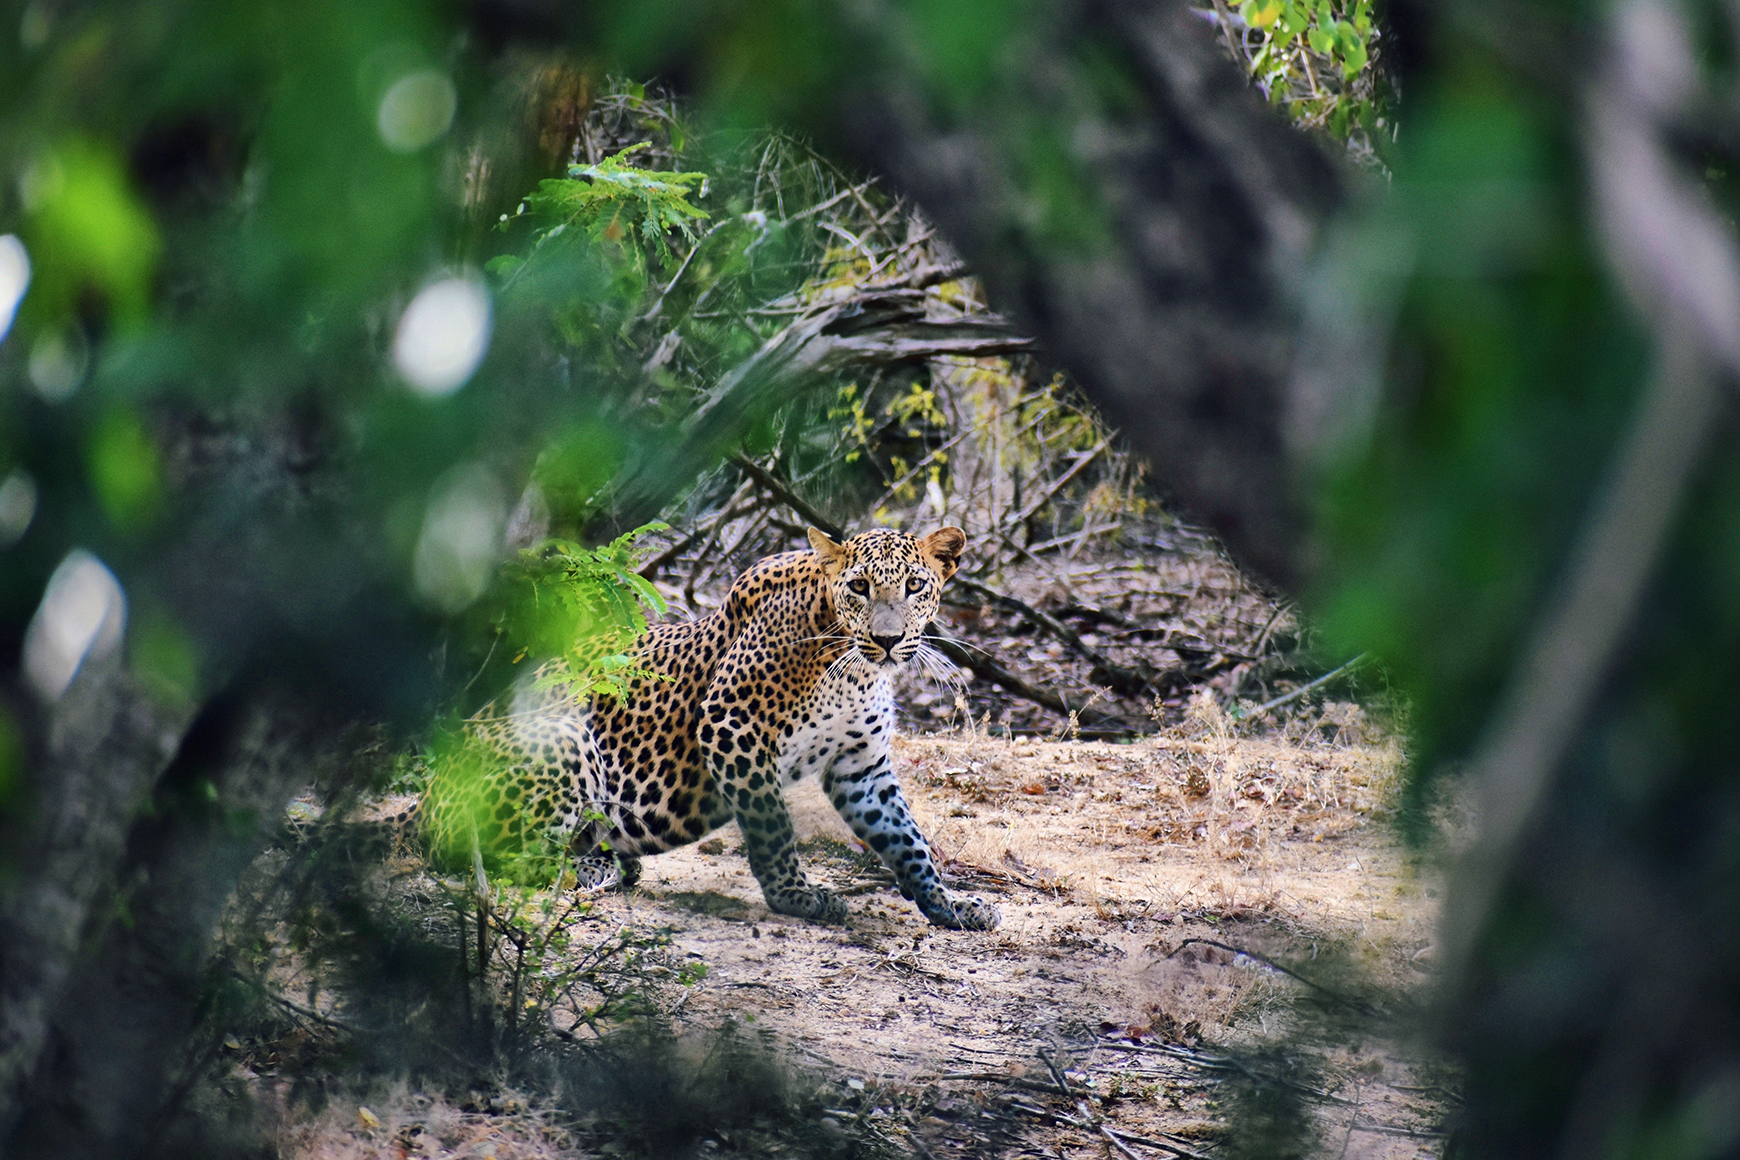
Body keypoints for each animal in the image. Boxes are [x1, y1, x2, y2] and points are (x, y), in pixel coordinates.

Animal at [419, 525, 1001, 931]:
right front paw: (797, 896)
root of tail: (423, 802)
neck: (853, 670)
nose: (887, 639)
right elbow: (773, 827)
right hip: (563, 738)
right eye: (859, 587)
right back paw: (594, 872)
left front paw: (950, 905)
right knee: (500, 858)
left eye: (915, 585)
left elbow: (908, 839)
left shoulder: (860, 765)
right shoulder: (733, 727)